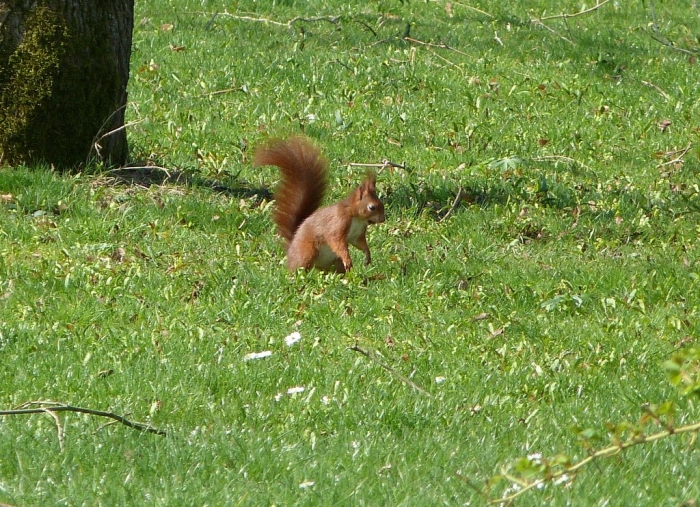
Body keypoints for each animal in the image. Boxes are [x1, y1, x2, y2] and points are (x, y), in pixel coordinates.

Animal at [253, 136, 385, 272]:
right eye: (372, 207)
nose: (383, 219)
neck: (356, 218)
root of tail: (291, 247)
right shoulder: (338, 223)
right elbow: (336, 241)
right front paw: (347, 258)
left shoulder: (357, 235)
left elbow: (360, 243)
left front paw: (368, 256)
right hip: (308, 252)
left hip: (334, 263)